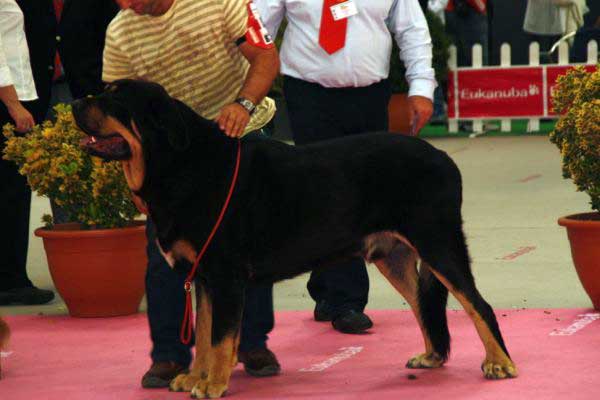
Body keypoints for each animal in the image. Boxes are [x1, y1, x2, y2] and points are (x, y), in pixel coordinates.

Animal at [74, 79, 516, 398]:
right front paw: (195, 377)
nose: (76, 103)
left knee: (478, 304)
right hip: (393, 255)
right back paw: (431, 356)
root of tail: (444, 158)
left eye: (115, 99)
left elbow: (219, 337)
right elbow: (203, 334)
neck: (181, 166)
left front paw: (212, 384)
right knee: (424, 305)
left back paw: (499, 363)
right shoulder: (202, 277)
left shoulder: (225, 275)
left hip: (438, 242)